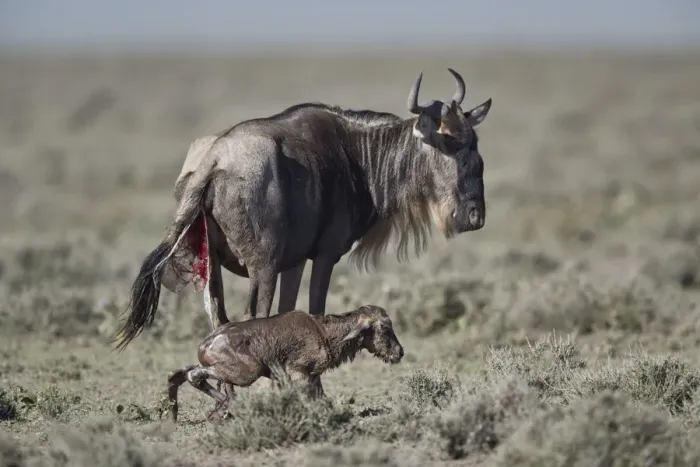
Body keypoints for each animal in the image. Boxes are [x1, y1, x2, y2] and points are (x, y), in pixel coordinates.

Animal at [114, 68, 492, 351]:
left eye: (474, 146)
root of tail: (215, 161)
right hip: (262, 267)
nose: (475, 217)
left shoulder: (294, 261)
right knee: (250, 317)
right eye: (447, 143)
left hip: (214, 267)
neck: (359, 155)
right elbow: (315, 312)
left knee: (219, 319)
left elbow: (289, 312)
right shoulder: (325, 256)